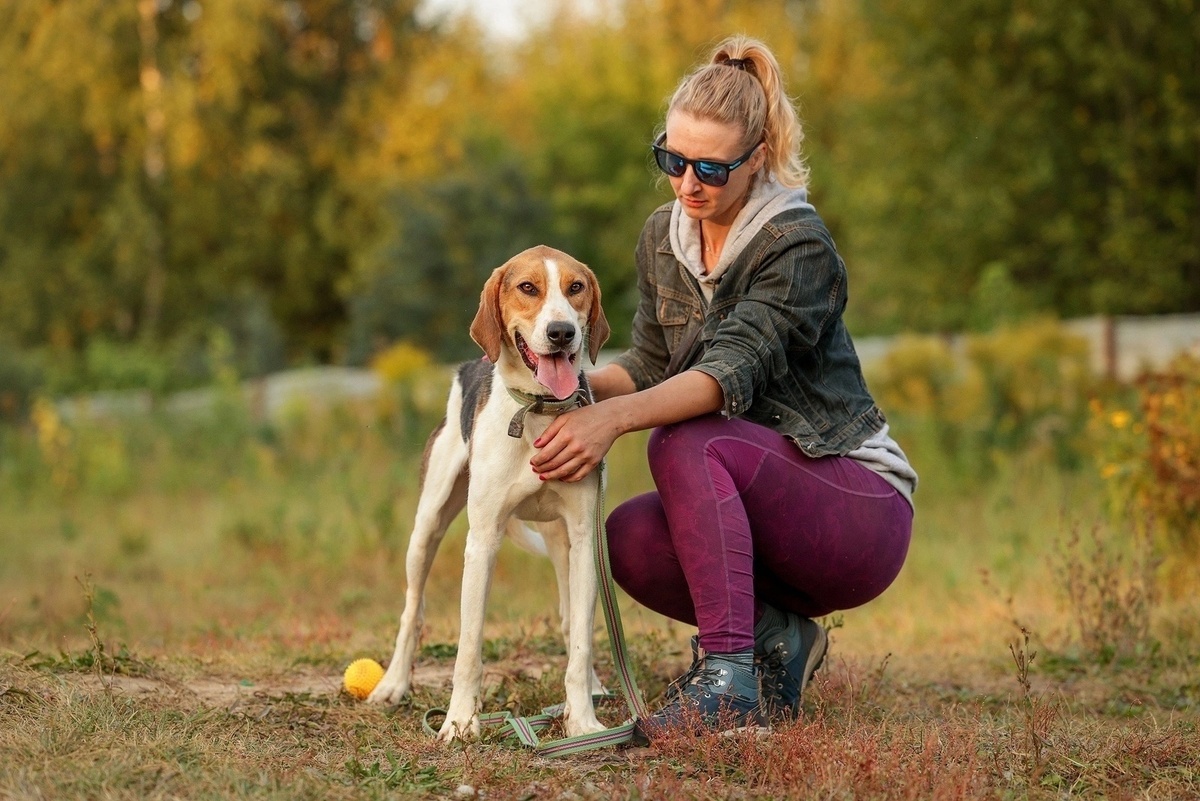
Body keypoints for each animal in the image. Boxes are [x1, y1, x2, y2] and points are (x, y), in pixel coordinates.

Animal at [367, 247, 614, 743]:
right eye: (527, 288)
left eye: (576, 287)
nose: (562, 332)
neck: (538, 411)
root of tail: (470, 365)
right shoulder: (481, 542)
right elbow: (468, 646)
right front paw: (460, 721)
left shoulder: (584, 538)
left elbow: (581, 638)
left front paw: (582, 721)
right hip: (426, 528)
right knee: (412, 611)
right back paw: (394, 684)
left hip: (561, 543)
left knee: (569, 616)